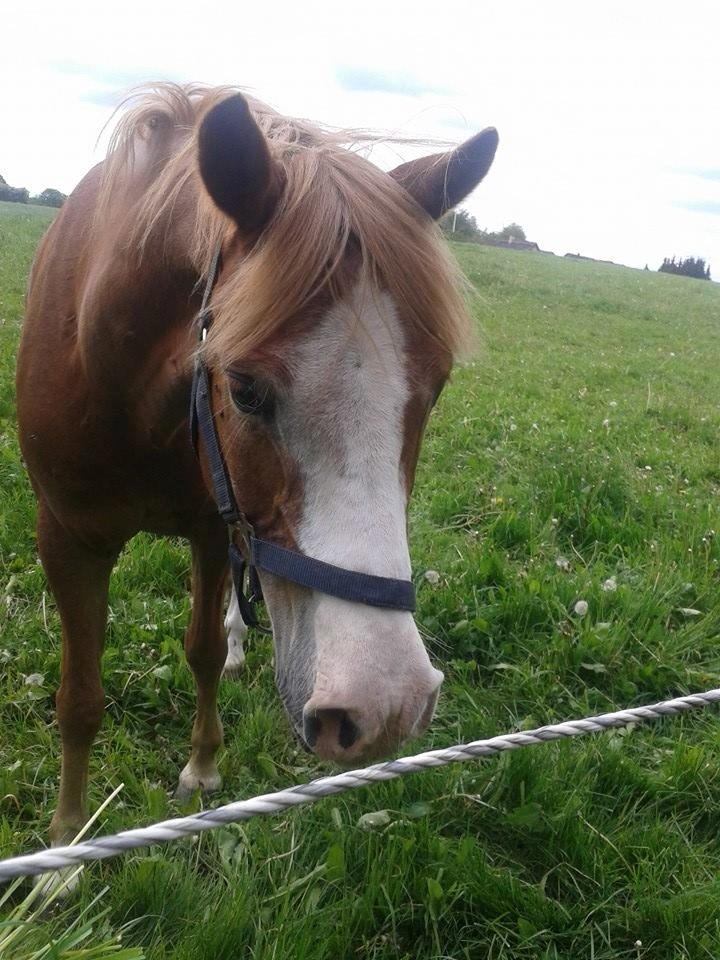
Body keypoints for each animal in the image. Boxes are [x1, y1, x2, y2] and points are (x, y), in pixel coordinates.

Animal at [18, 84, 500, 848]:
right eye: (242, 387)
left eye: (437, 386)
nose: (386, 700)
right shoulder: (68, 540)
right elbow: (79, 698)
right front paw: (67, 841)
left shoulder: (217, 527)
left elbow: (204, 651)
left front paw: (202, 769)